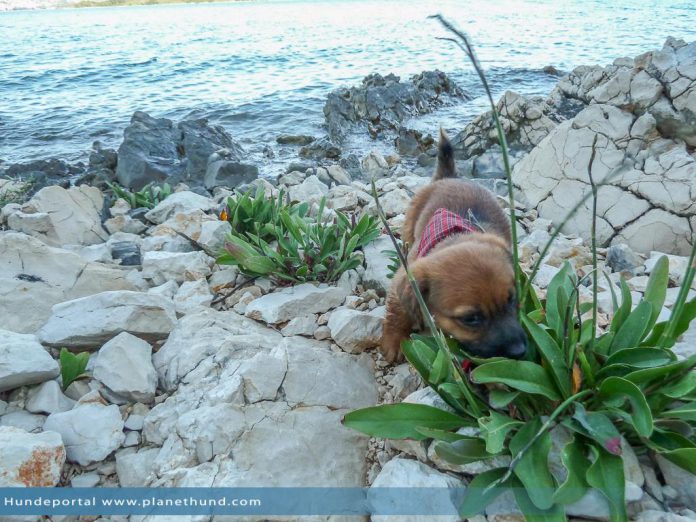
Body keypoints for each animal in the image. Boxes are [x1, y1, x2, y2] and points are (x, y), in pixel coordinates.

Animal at [380, 131, 528, 362]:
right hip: (409, 229)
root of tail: (450, 177)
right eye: (471, 319)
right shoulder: (403, 279)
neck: (455, 236)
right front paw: (395, 340)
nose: (519, 351)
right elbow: (398, 312)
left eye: (512, 299)